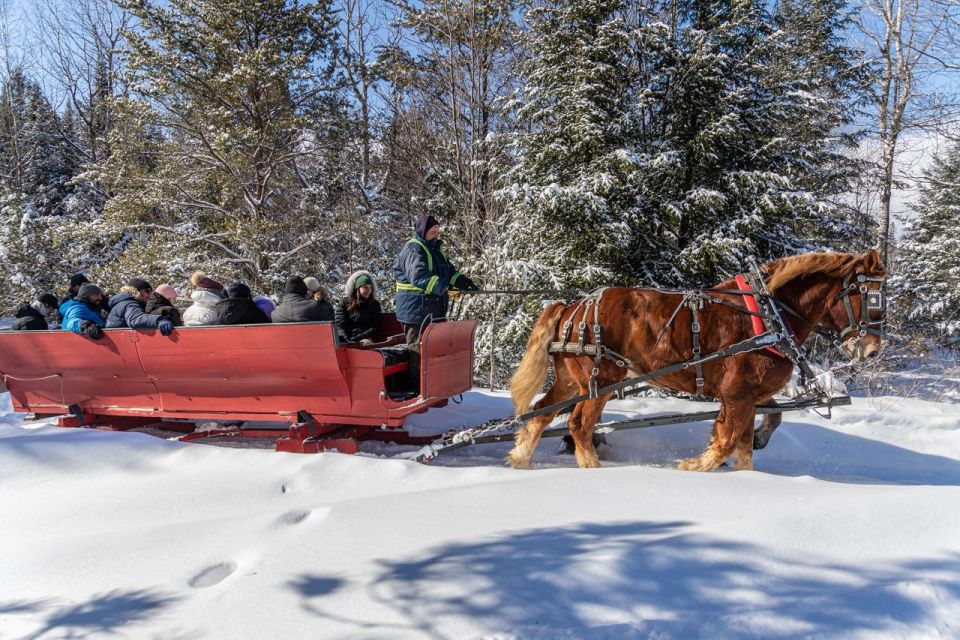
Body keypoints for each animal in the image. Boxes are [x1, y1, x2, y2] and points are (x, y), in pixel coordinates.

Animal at [510, 250, 884, 470]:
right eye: (870, 297)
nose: (872, 350)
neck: (771, 314)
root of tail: (573, 307)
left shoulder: (749, 397)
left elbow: (751, 441)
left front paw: (755, 451)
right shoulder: (737, 395)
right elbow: (725, 443)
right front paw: (692, 467)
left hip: (571, 379)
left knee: (540, 413)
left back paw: (520, 460)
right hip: (601, 380)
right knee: (579, 425)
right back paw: (592, 469)